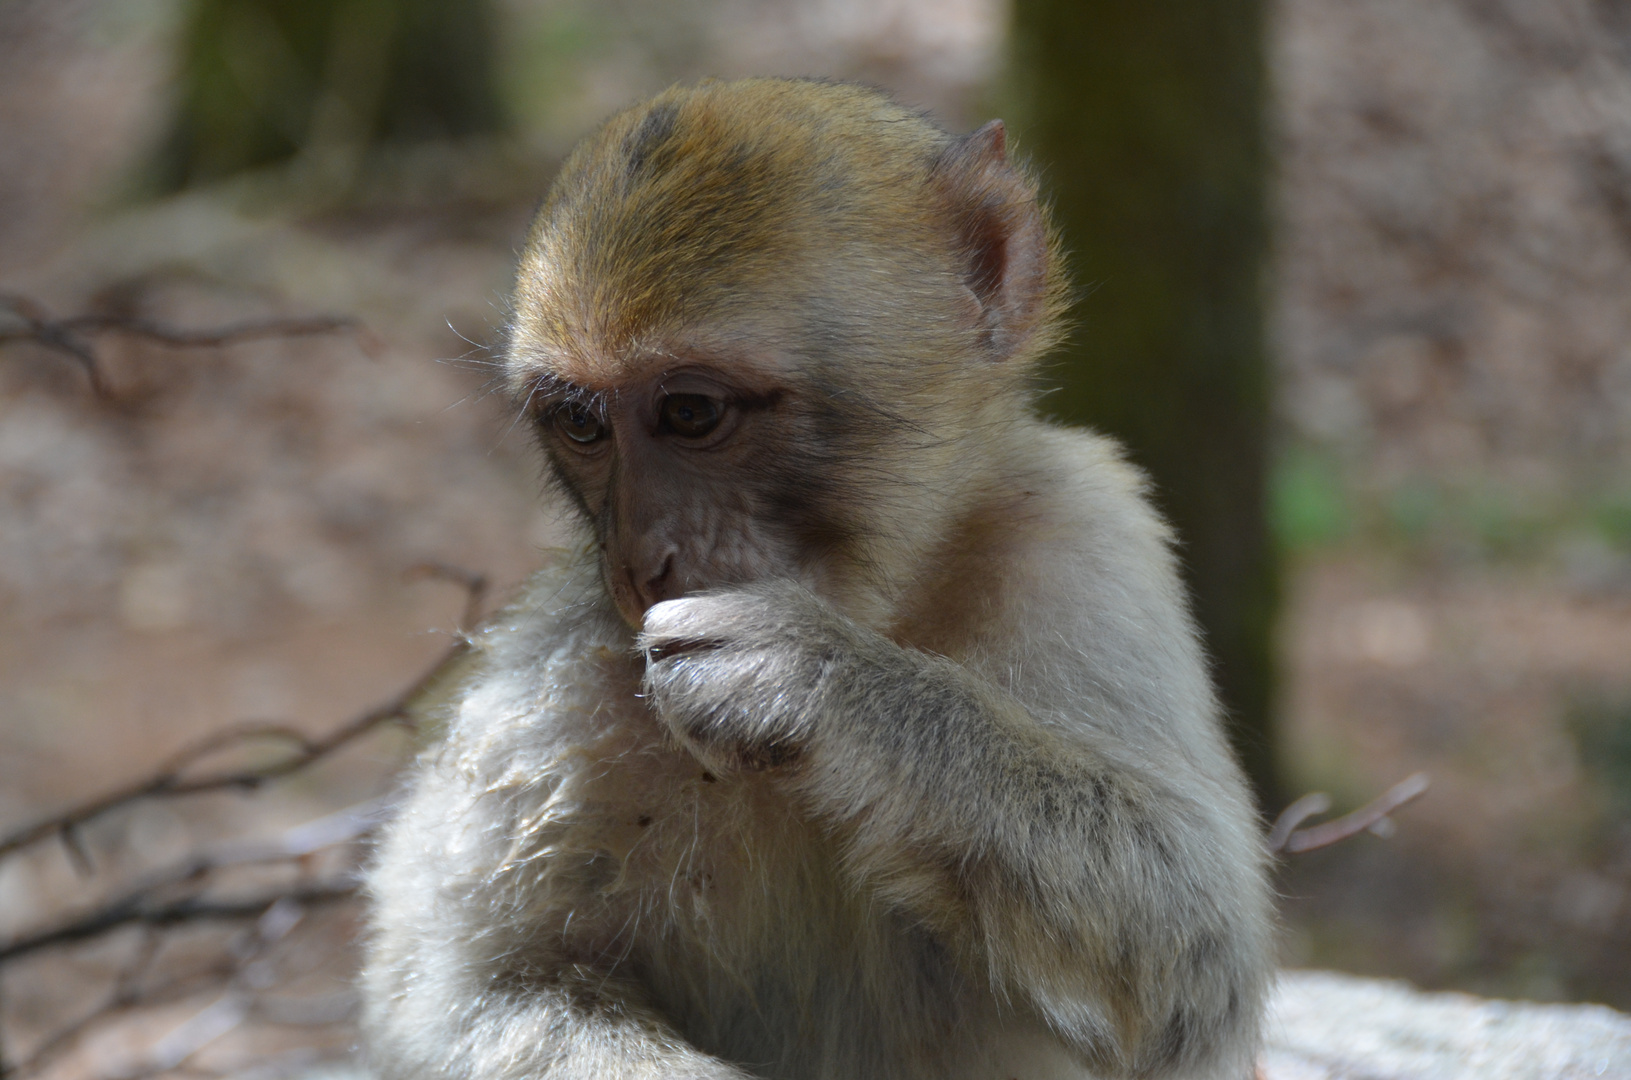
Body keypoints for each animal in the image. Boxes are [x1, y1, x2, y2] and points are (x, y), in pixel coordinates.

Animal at [363, 78, 1278, 1080]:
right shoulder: (567, 666)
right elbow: (470, 990)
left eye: (690, 413)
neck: (886, 604)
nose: (639, 559)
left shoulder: (1084, 533)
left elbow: (1198, 926)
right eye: (581, 424)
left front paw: (809, 677)